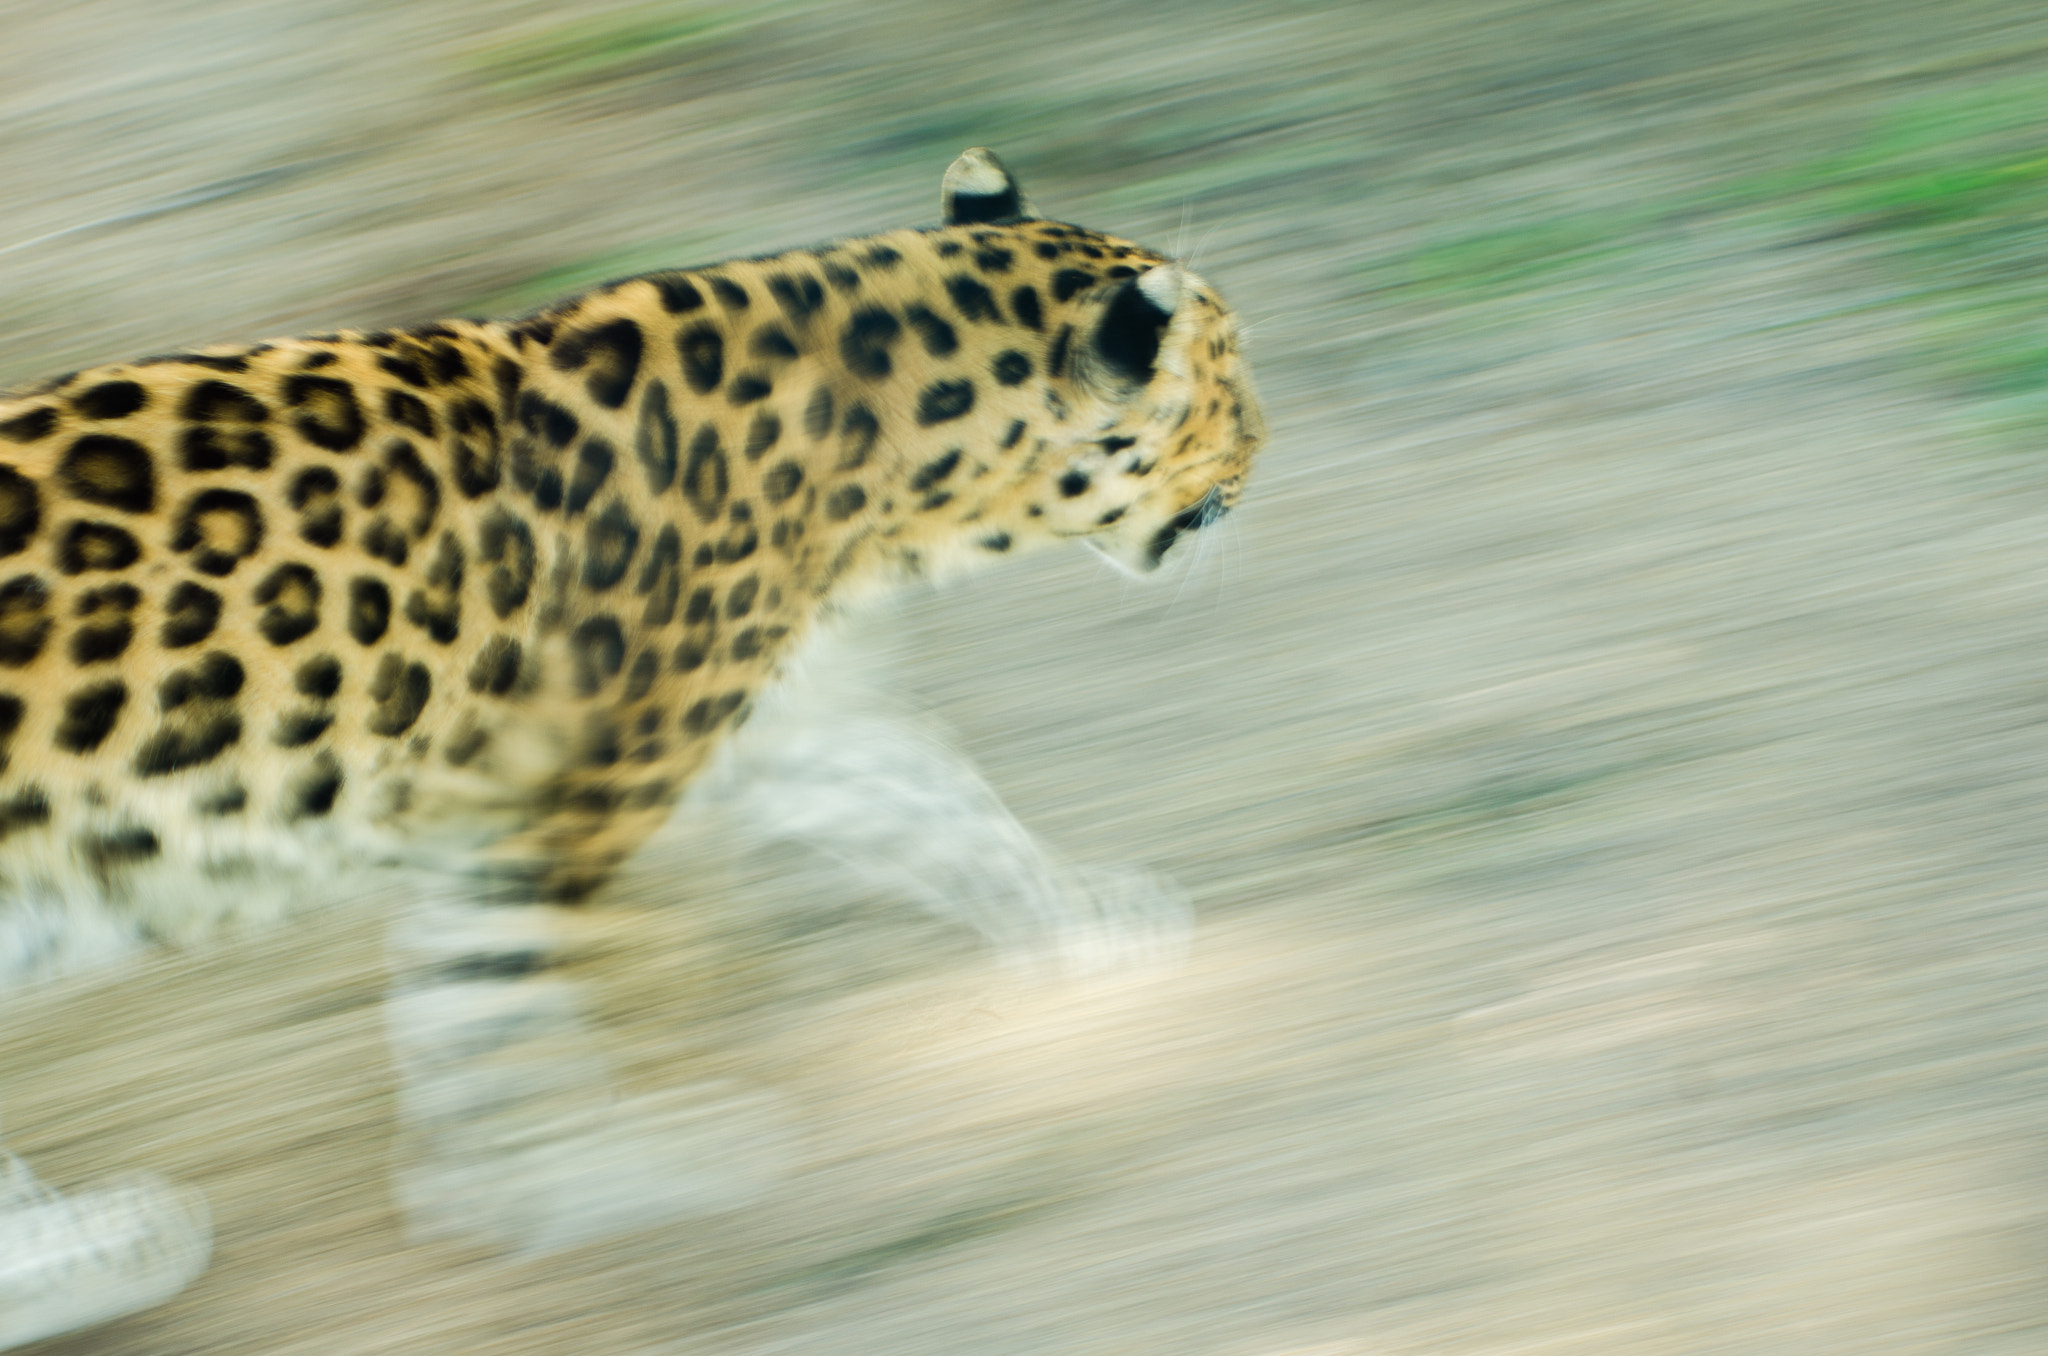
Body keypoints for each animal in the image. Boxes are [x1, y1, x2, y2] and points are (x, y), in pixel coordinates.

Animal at [0, 147, 1264, 979]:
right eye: (1228, 379)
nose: (1268, 437)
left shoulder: (782, 725)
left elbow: (937, 803)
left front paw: (1090, 911)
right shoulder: (555, 805)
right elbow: (498, 1008)